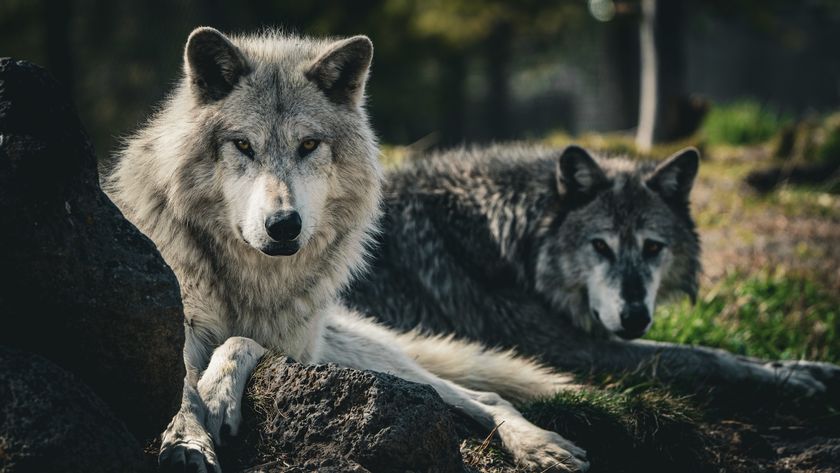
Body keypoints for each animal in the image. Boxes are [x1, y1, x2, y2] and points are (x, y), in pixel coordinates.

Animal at [105, 28, 591, 472]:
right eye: (243, 144)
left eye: (308, 145)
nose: (284, 225)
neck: (252, 280)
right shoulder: (177, 325)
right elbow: (181, 389)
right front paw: (188, 442)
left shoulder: (298, 348)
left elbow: (240, 341)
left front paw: (218, 394)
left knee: (485, 395)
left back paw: (540, 445)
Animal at [345, 144, 840, 398]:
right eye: (600, 246)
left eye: (653, 247)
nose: (635, 317)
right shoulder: (566, 348)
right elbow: (697, 354)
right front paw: (791, 378)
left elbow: (716, 349)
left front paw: (809, 366)